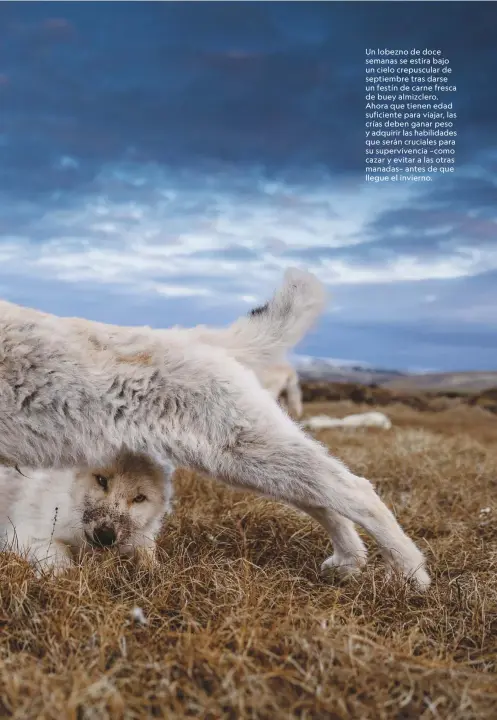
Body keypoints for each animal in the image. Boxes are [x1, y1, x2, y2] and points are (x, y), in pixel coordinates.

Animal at [0, 270, 428, 592]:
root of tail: (193, 337)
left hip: (245, 450)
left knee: (355, 490)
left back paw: (410, 574)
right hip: (249, 461)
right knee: (320, 497)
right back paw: (349, 561)